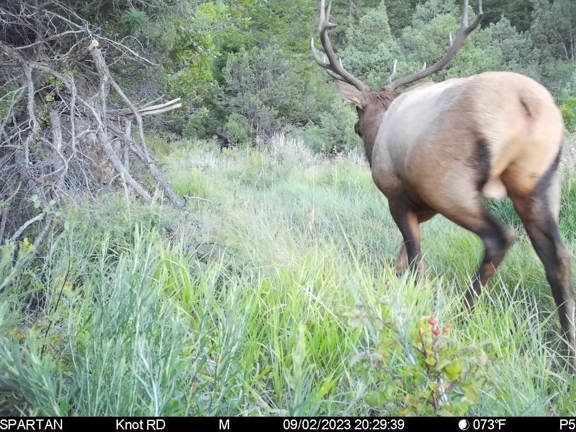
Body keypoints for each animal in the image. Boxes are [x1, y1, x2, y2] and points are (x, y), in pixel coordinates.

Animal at [316, 0, 576, 366]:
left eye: (358, 110)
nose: (356, 128)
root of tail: (527, 102)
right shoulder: (422, 209)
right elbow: (402, 258)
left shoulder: (397, 196)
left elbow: (415, 257)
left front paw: (416, 300)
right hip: (540, 181)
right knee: (558, 256)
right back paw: (568, 348)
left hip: (449, 183)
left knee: (500, 237)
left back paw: (460, 317)